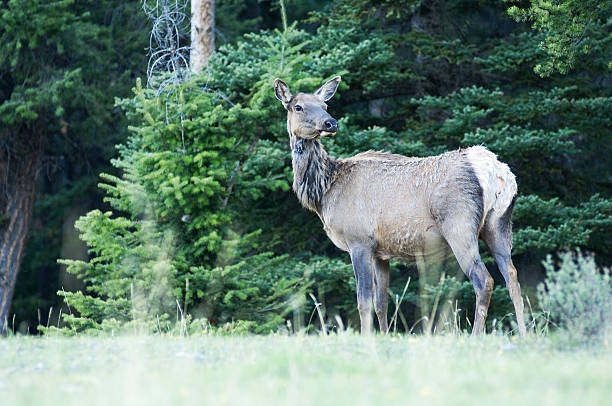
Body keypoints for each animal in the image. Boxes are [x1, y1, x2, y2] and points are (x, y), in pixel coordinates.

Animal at [274, 76, 528, 336]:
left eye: (324, 105)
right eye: (298, 107)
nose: (330, 123)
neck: (324, 192)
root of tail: (496, 170)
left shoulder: (359, 240)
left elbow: (363, 300)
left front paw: (366, 337)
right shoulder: (380, 252)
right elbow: (381, 303)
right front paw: (384, 336)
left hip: (460, 224)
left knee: (484, 280)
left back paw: (476, 335)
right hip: (498, 224)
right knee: (512, 277)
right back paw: (525, 332)